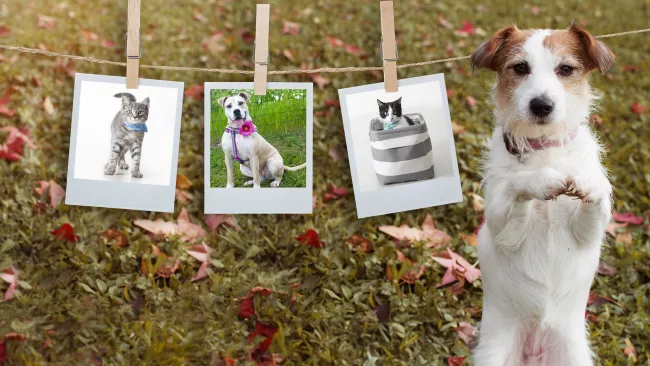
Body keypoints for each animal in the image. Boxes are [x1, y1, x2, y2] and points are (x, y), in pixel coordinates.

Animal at [470, 24, 612, 364]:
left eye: (566, 69)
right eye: (521, 68)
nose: (541, 105)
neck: (544, 147)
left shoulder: (587, 234)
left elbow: (597, 195)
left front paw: (588, 182)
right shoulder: (503, 230)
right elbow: (517, 184)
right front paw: (541, 179)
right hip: (494, 352)